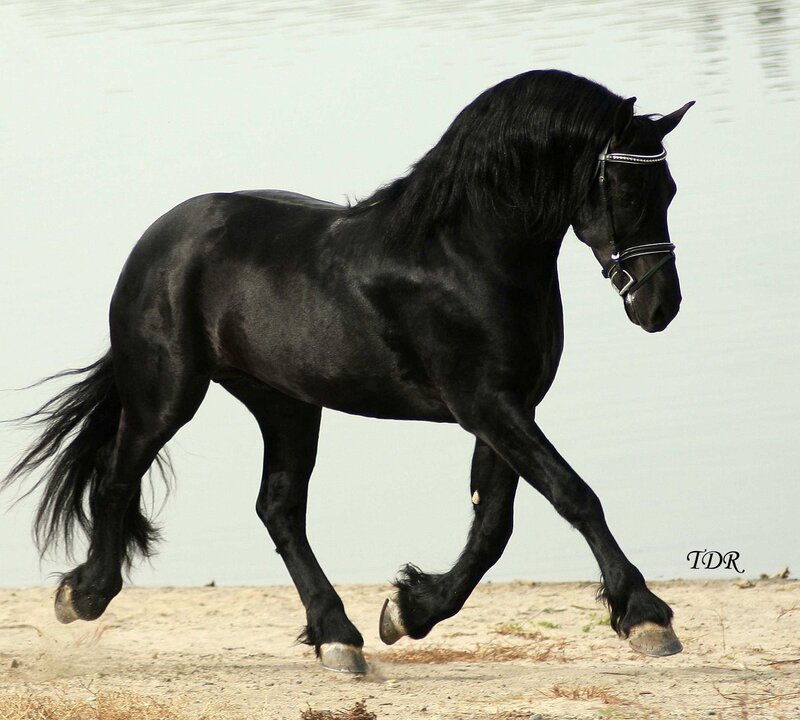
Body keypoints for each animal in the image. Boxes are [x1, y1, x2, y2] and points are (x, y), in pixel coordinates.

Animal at [4, 69, 693, 674]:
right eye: (630, 191)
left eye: (670, 192)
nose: (660, 307)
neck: (465, 255)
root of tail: (159, 239)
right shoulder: (487, 404)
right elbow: (574, 495)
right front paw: (647, 618)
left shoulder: (508, 407)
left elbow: (494, 525)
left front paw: (408, 611)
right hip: (167, 395)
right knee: (119, 479)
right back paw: (82, 595)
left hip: (285, 403)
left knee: (278, 508)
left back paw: (337, 636)